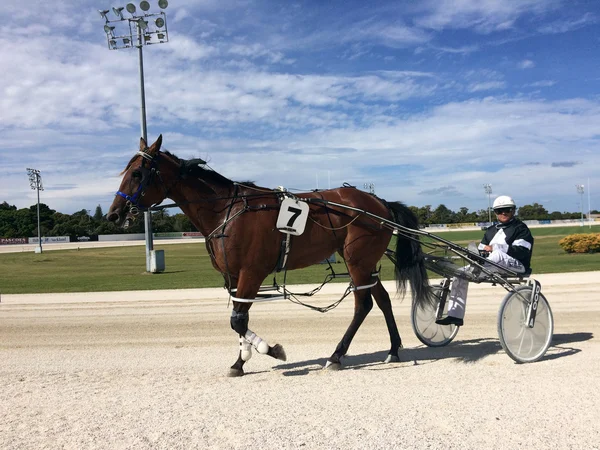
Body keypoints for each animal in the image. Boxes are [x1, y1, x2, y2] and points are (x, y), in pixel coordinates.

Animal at [108, 136, 434, 376]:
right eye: (126, 171)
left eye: (137, 173)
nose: (114, 214)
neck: (226, 210)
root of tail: (379, 202)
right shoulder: (234, 276)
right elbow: (239, 317)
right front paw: (239, 361)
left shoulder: (252, 272)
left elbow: (238, 321)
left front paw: (270, 350)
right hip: (365, 263)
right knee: (382, 299)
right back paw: (393, 350)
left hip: (357, 260)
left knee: (363, 304)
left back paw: (336, 356)